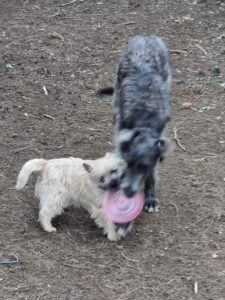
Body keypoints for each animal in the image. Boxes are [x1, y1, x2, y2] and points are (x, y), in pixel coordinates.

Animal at [99, 34, 171, 233]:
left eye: (144, 166)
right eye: (127, 163)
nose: (129, 192)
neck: (144, 121)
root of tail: (146, 35)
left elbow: (152, 177)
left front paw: (150, 198)